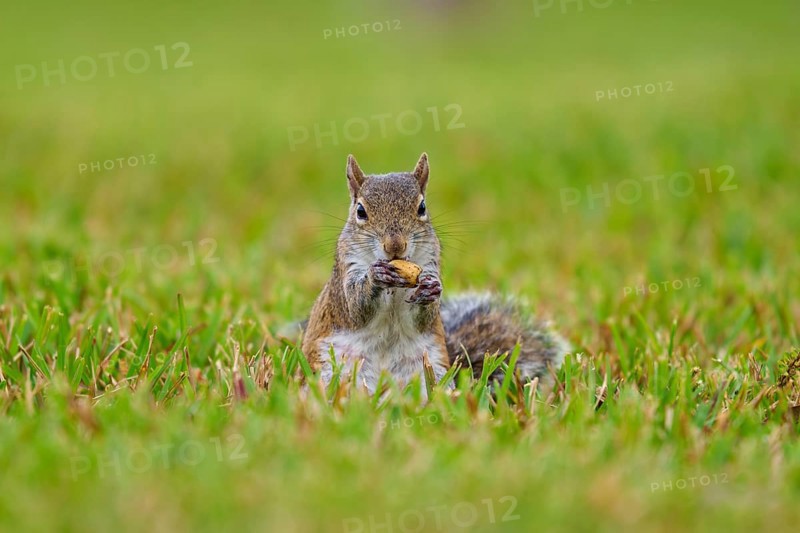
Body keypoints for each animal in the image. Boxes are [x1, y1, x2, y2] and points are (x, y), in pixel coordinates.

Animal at [301, 153, 569, 394]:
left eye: (422, 207)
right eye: (360, 211)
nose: (395, 246)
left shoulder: (429, 264)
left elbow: (422, 317)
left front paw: (431, 290)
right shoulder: (344, 274)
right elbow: (354, 307)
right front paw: (375, 277)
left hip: (432, 370)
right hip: (329, 372)